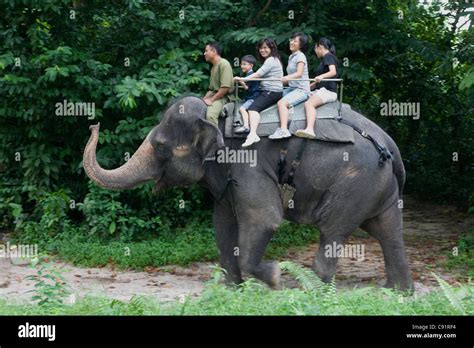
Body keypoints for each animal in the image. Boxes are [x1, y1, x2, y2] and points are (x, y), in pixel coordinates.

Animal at [83, 95, 412, 290]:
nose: (93, 123)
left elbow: (265, 219)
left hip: (355, 184)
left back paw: (313, 291)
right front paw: (232, 289)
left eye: (161, 146)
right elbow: (223, 223)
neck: (218, 116)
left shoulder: (248, 163)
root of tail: (391, 147)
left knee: (333, 230)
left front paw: (276, 277)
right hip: (377, 188)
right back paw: (397, 291)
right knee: (389, 232)